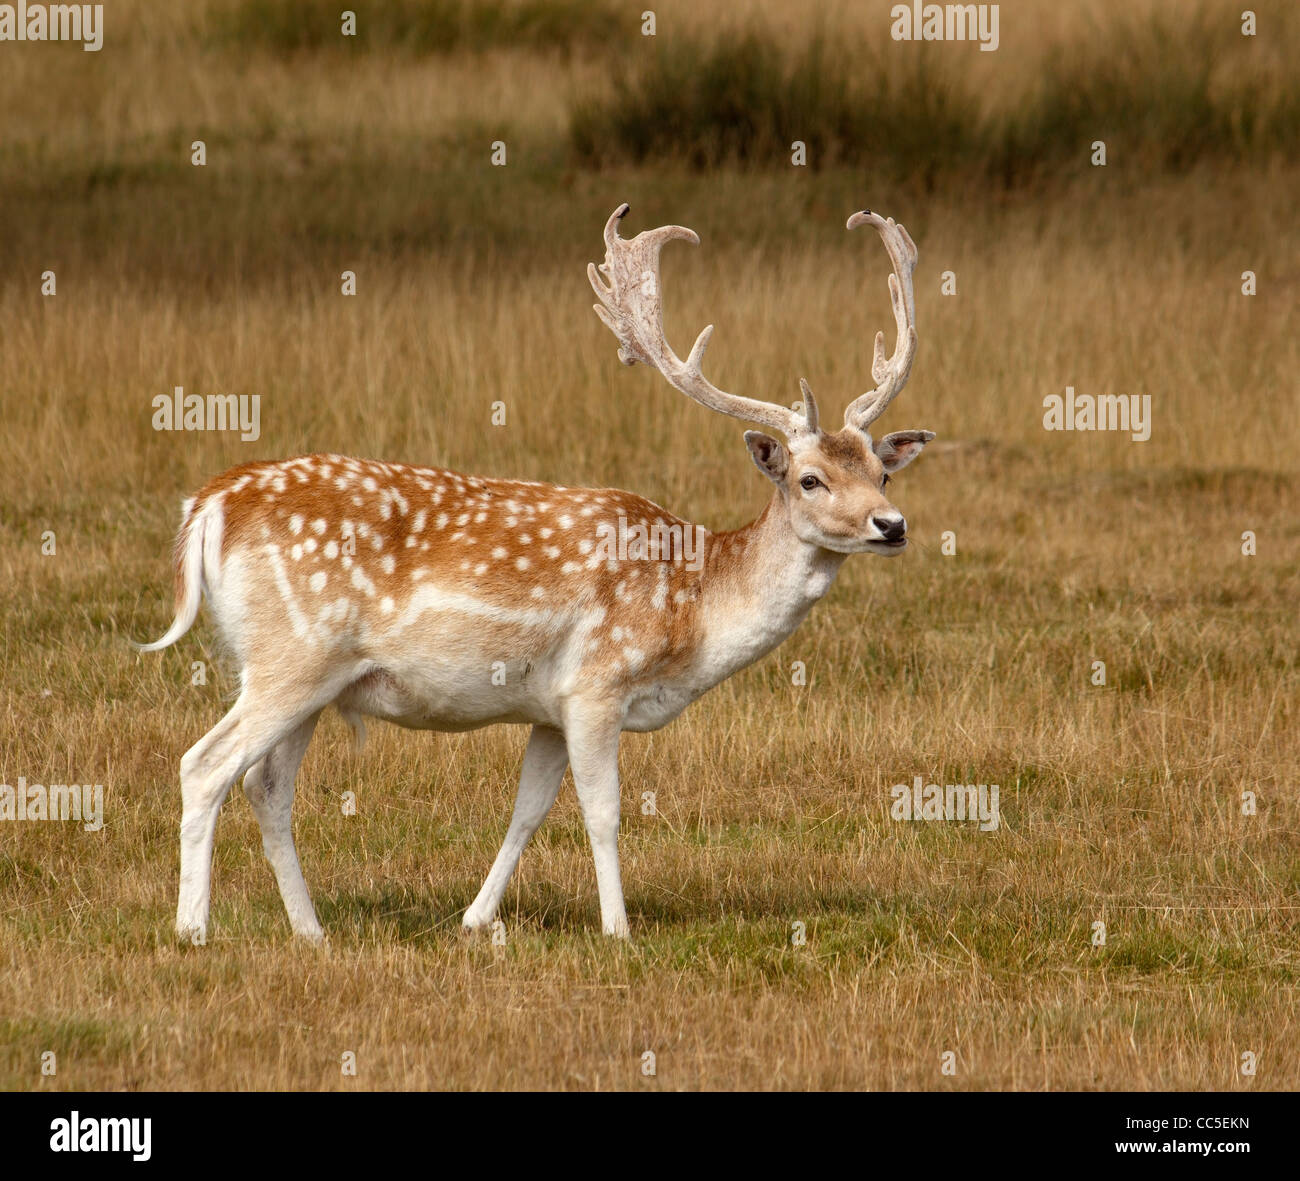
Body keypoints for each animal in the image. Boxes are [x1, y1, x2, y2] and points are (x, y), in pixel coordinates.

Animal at [137, 200, 935, 941]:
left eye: (881, 474)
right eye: (809, 479)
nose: (891, 526)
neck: (692, 611)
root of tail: (209, 503)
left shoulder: (550, 708)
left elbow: (528, 809)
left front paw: (475, 918)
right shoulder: (597, 681)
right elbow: (603, 811)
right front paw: (618, 929)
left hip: (310, 674)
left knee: (266, 783)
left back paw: (312, 931)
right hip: (292, 654)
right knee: (204, 765)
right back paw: (192, 929)